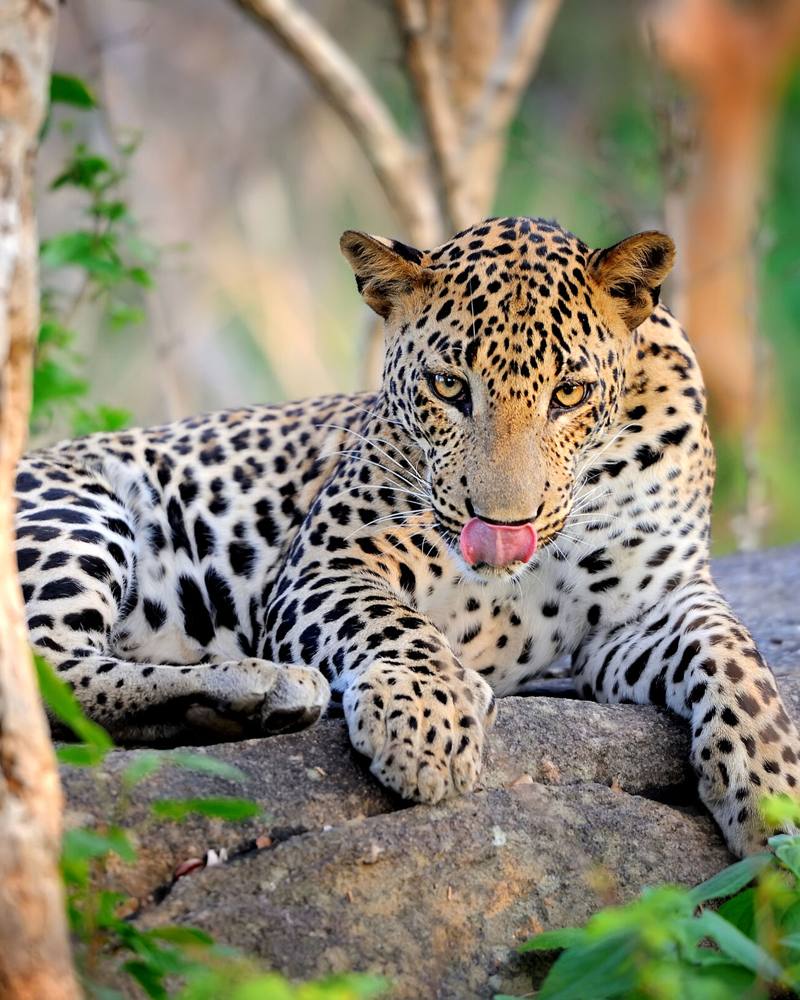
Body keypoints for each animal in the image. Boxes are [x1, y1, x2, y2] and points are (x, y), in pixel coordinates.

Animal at [14, 216, 799, 857]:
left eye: (569, 394)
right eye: (450, 387)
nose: (503, 528)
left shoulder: (649, 606)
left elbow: (739, 660)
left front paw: (774, 795)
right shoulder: (328, 564)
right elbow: (393, 622)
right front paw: (427, 719)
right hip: (76, 508)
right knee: (49, 674)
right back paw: (260, 685)